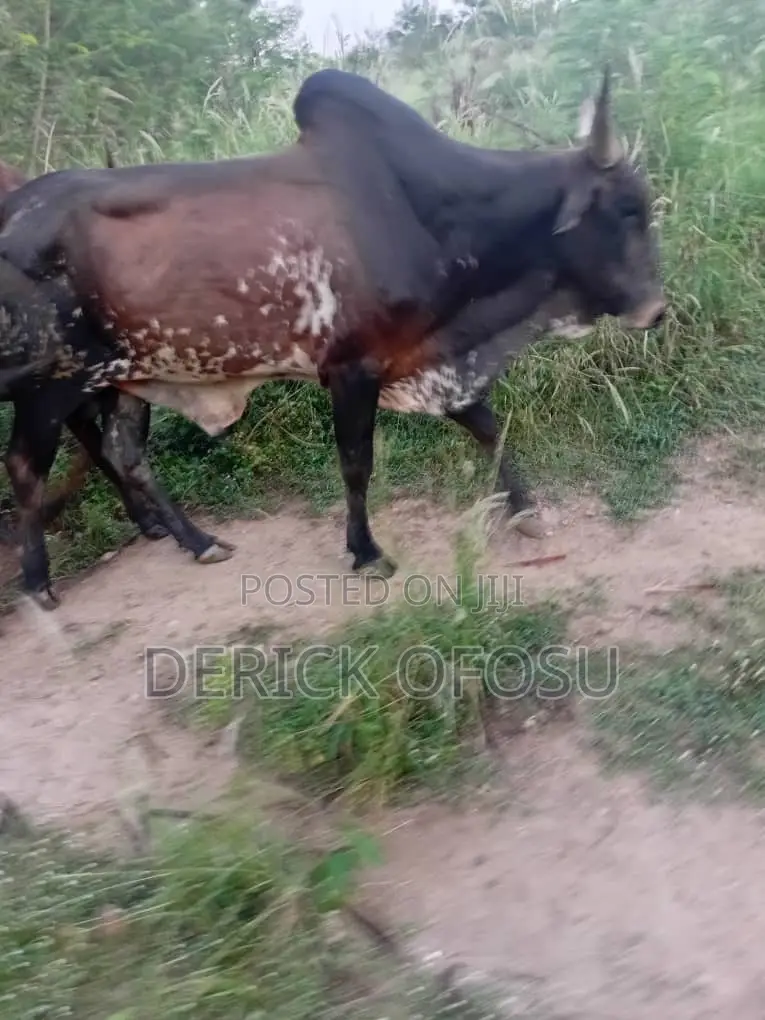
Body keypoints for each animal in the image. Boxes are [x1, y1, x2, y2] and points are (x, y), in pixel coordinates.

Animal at [0, 65, 665, 601]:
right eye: (628, 209)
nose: (656, 309)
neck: (423, 214)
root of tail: (13, 209)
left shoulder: (425, 356)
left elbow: (487, 428)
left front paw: (527, 511)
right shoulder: (352, 368)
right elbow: (355, 462)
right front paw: (366, 552)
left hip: (127, 375)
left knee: (124, 454)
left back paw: (197, 540)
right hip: (50, 384)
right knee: (26, 468)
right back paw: (38, 582)